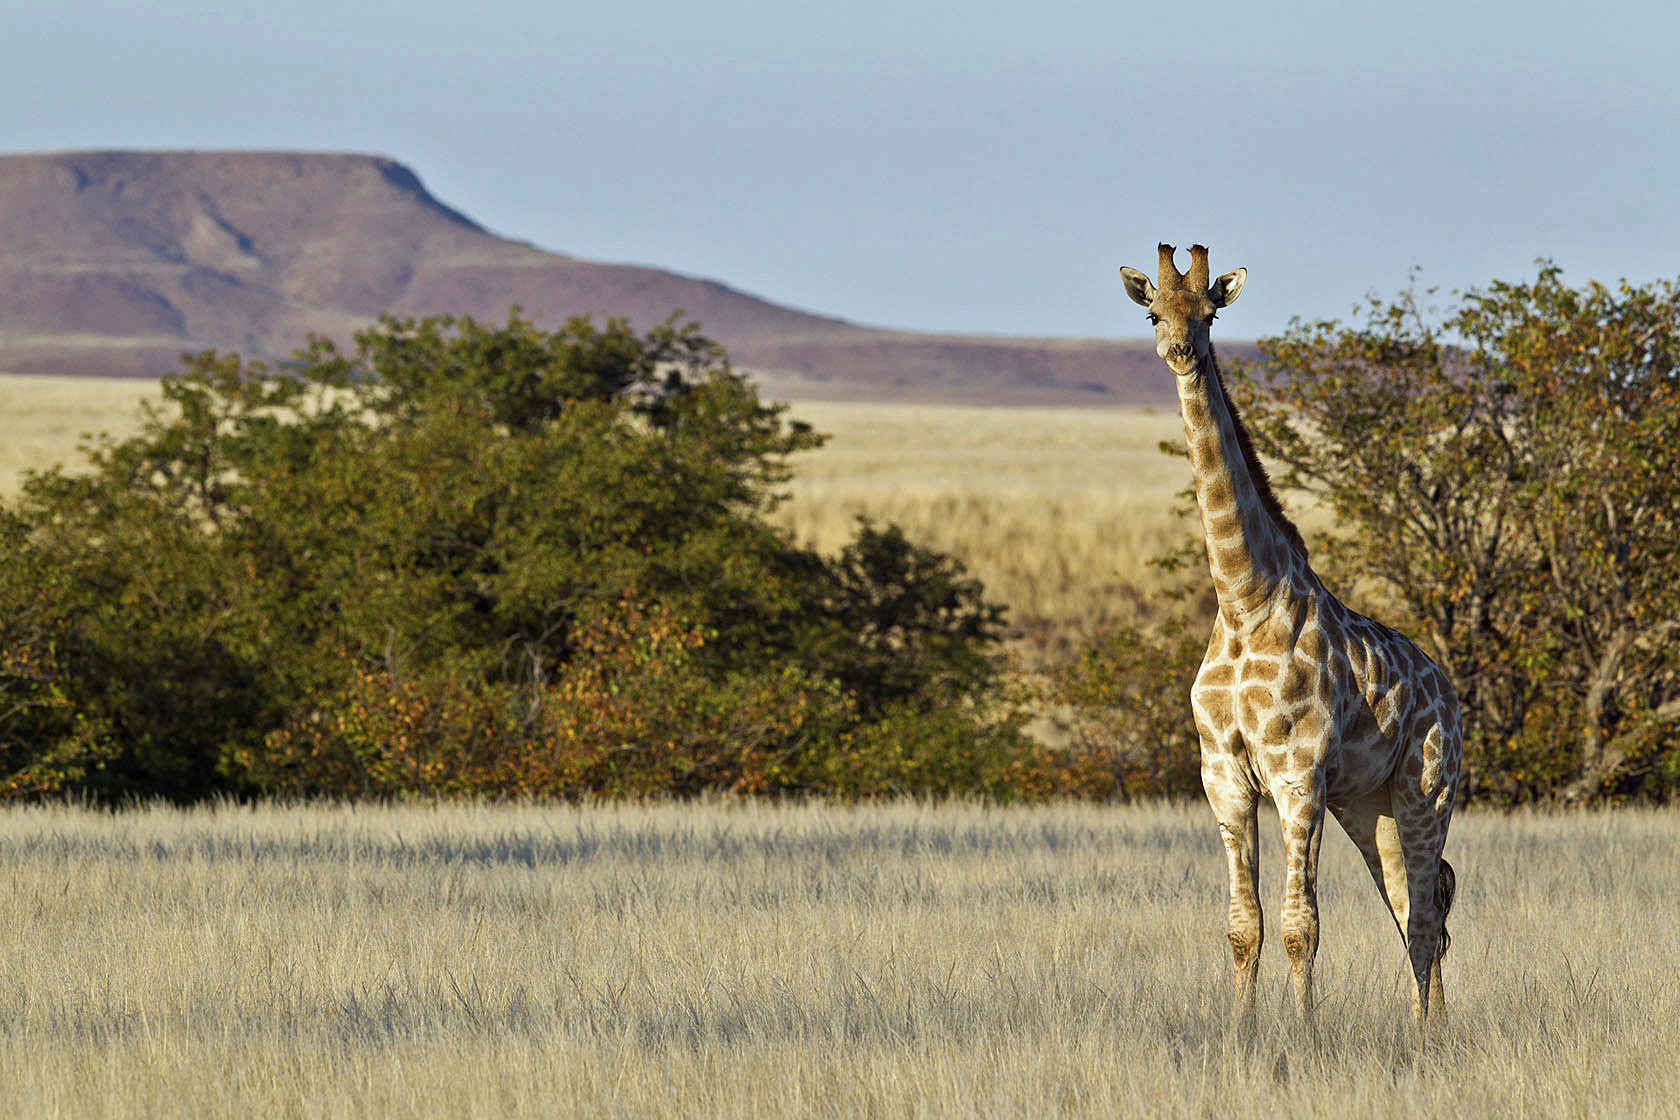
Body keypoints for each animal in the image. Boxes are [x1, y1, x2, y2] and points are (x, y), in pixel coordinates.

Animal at [1118, 244, 1460, 1026]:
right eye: (1154, 313)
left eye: (1209, 313)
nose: (1181, 352)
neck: (1244, 600)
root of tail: (1448, 689)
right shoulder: (1223, 777)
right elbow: (1244, 926)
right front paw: (1240, 1035)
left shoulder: (1298, 774)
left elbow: (1303, 926)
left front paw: (1304, 1036)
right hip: (1368, 804)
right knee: (1413, 908)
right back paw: (1429, 1030)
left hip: (1427, 787)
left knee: (1427, 914)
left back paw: (1427, 1039)